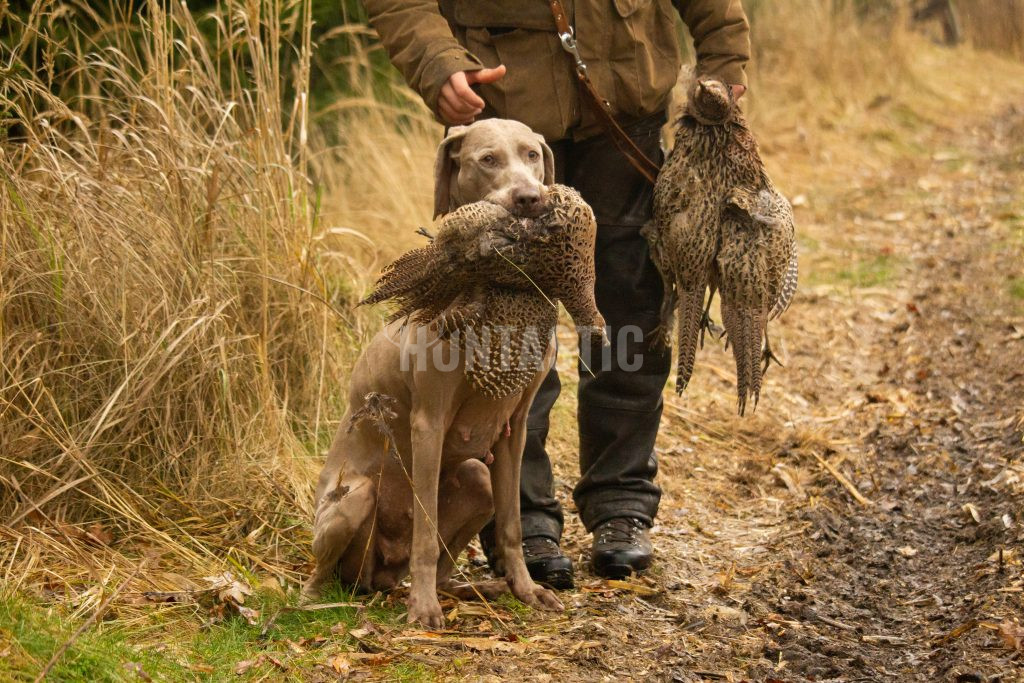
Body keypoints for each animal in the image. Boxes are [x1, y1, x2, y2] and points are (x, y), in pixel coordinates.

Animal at [303, 120, 598, 626]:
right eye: (487, 159)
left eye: (532, 154)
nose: (530, 199)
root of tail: (380, 578)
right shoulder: (429, 422)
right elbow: (425, 529)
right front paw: (423, 610)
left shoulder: (516, 426)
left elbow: (512, 526)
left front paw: (527, 590)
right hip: (354, 497)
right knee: (328, 570)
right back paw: (327, 597)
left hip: (478, 480)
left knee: (447, 555)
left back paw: (473, 588)